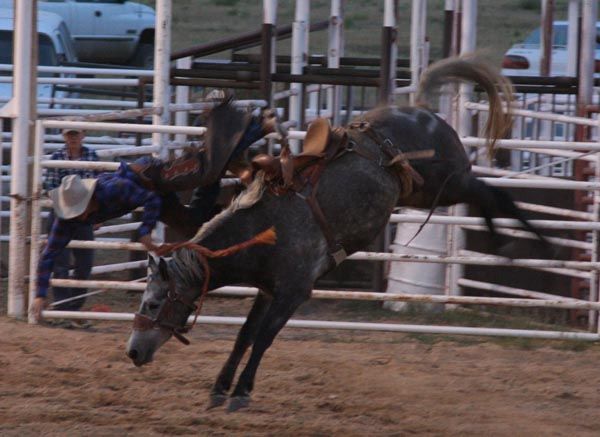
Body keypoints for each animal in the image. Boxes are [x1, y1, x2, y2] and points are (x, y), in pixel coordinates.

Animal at [124, 54, 552, 408]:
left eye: (153, 303)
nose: (132, 352)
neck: (263, 228)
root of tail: (423, 112)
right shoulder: (268, 290)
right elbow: (245, 334)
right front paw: (219, 388)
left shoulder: (294, 292)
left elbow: (263, 338)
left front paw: (242, 392)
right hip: (432, 191)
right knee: (488, 197)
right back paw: (502, 241)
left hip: (448, 182)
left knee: (495, 194)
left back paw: (536, 242)